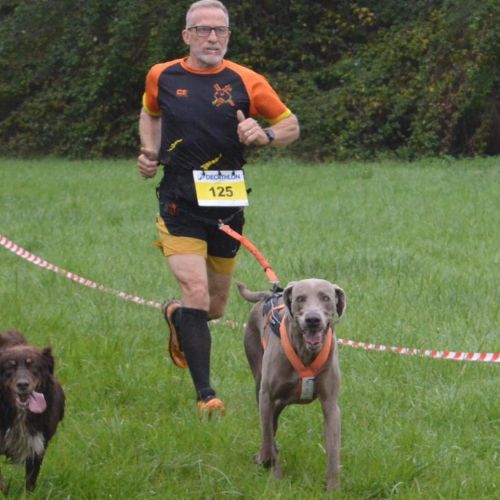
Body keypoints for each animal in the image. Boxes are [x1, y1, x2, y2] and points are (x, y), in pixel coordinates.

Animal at [237, 279, 346, 490]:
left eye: (326, 298)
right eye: (300, 298)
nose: (313, 319)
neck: (305, 352)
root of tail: (269, 294)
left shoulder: (331, 404)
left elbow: (333, 450)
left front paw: (333, 488)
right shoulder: (266, 396)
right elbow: (267, 438)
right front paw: (269, 467)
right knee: (270, 429)